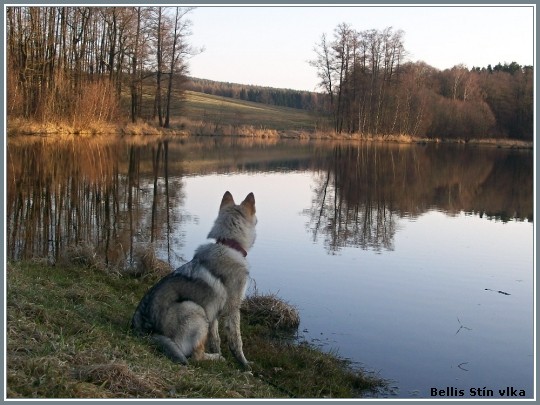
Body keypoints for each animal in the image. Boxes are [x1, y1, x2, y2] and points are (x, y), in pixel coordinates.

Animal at [132, 191, 256, 368]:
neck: (228, 245)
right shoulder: (233, 309)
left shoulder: (213, 313)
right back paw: (216, 358)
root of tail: (147, 333)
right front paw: (245, 366)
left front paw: (219, 351)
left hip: (203, 315)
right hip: (195, 309)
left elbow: (215, 339)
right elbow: (237, 342)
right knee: (195, 357)